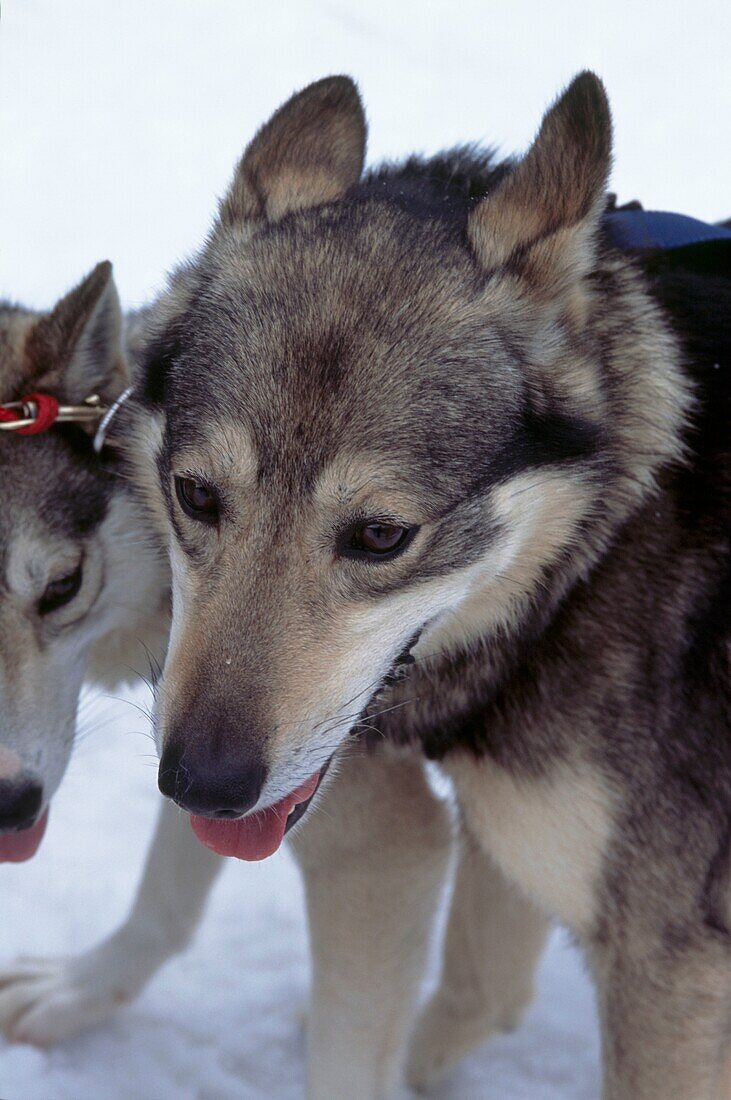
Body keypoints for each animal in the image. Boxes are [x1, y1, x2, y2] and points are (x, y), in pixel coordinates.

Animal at [120, 70, 729, 1100]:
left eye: (380, 536)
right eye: (196, 495)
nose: (201, 785)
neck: (599, 559)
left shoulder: (670, 973)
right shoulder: (515, 846)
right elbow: (478, 988)